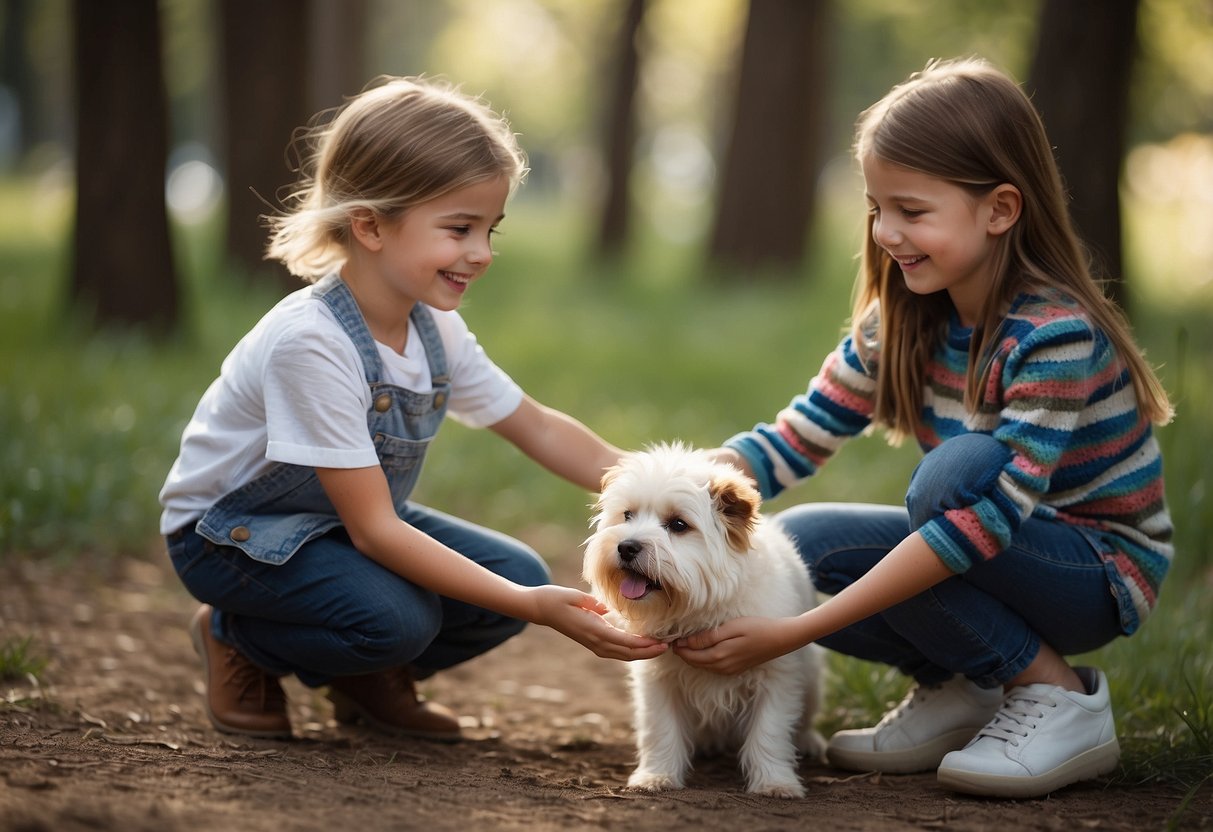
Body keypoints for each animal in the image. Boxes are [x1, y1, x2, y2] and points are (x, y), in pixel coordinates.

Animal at [584, 443, 824, 800]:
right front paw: (657, 775)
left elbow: (770, 731)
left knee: (805, 717)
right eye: (627, 515)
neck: (700, 608)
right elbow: (661, 729)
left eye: (678, 524)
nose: (626, 547)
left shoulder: (777, 675)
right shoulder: (659, 679)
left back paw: (809, 741)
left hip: (811, 677)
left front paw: (775, 782)